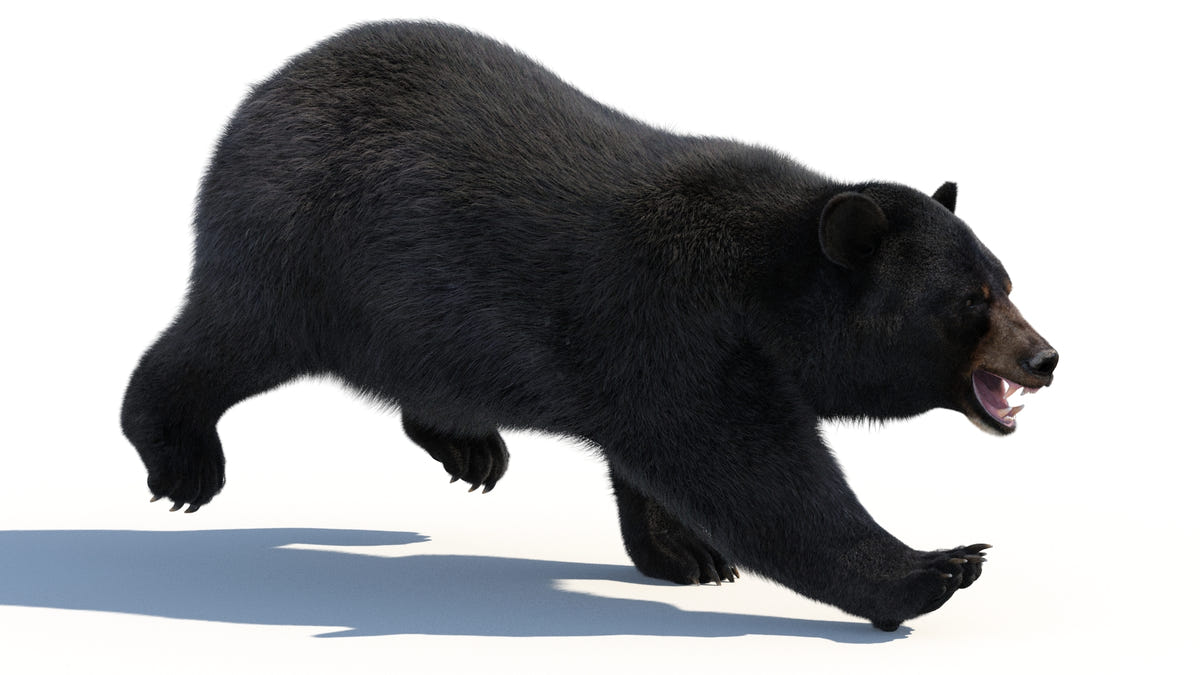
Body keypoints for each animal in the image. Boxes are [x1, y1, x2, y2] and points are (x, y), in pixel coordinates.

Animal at [120, 21, 1058, 631]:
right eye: (972, 300)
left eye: (1009, 281)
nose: (1046, 356)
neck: (766, 285)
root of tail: (259, 98)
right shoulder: (669, 323)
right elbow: (753, 472)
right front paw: (935, 565)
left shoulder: (659, 351)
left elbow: (667, 460)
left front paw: (686, 553)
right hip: (296, 258)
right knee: (219, 343)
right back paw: (182, 458)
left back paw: (469, 445)